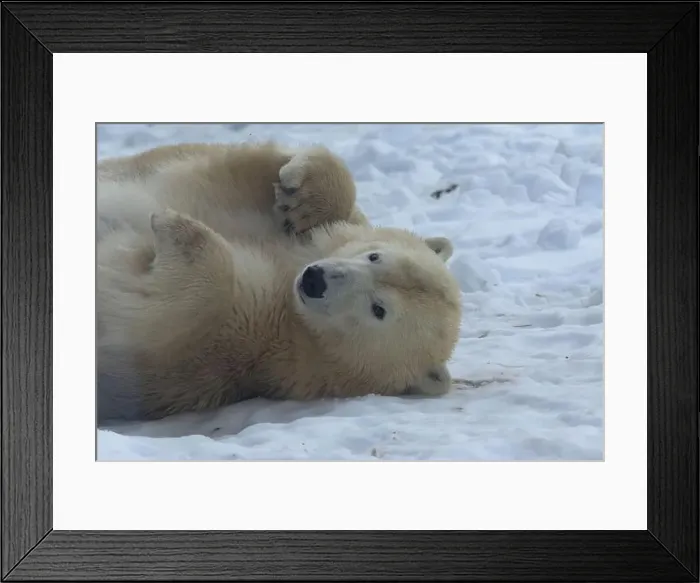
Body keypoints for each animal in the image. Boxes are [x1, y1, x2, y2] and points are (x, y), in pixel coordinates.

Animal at [96, 140, 462, 423]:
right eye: (374, 257)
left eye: (378, 309)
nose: (315, 280)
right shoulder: (232, 194)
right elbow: (249, 165)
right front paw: (298, 199)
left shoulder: (252, 343)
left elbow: (171, 327)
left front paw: (173, 224)